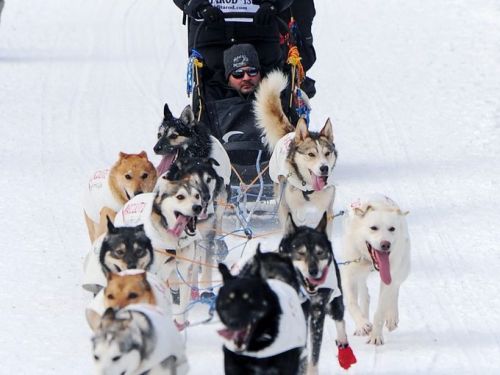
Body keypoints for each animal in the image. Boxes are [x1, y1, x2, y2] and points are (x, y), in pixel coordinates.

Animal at [280, 213, 358, 374]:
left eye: (320, 252)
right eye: (300, 252)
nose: (314, 271)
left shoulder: (317, 314)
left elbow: (314, 353)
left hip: (335, 304)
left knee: (340, 320)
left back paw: (343, 347)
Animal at [340, 195, 410, 346]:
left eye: (392, 228)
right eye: (373, 228)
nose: (385, 244)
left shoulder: (388, 278)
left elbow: (380, 311)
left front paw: (376, 336)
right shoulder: (349, 275)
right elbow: (352, 303)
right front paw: (362, 324)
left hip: (403, 267)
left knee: (395, 288)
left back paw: (392, 317)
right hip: (359, 275)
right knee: (365, 295)